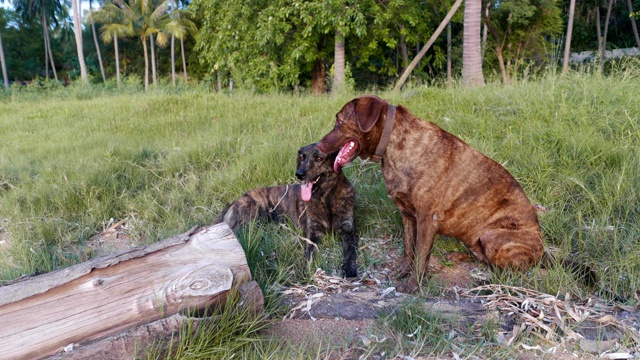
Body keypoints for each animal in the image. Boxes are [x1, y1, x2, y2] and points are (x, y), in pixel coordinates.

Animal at [218, 142, 358, 278]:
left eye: (319, 159)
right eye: (302, 158)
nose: (299, 174)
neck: (326, 199)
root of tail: (235, 201)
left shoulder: (348, 231)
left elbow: (350, 252)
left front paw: (349, 269)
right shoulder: (313, 233)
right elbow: (308, 255)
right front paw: (305, 272)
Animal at [318, 95, 544, 290]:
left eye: (339, 122)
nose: (319, 145)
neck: (394, 143)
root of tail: (542, 250)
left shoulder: (427, 219)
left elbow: (420, 255)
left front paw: (413, 285)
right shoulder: (408, 216)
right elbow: (409, 248)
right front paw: (403, 271)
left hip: (493, 236)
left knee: (504, 269)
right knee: (484, 258)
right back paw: (457, 256)